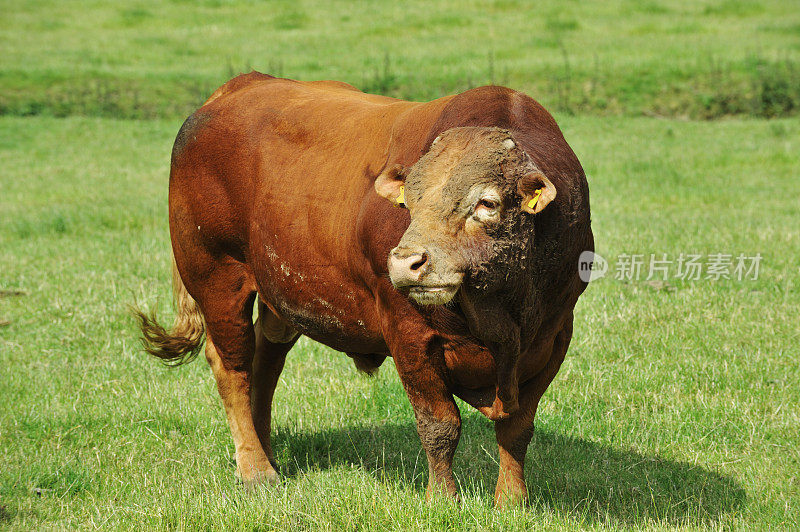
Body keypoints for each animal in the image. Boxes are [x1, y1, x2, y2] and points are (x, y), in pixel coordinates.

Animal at [133, 71, 592, 508]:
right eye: (410, 202)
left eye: (487, 203)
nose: (405, 262)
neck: (503, 321)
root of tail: (236, 88)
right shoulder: (408, 332)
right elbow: (440, 424)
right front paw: (442, 499)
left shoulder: (554, 335)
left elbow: (517, 429)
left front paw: (512, 501)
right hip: (216, 276)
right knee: (233, 368)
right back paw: (256, 470)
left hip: (280, 291)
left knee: (265, 360)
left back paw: (267, 453)